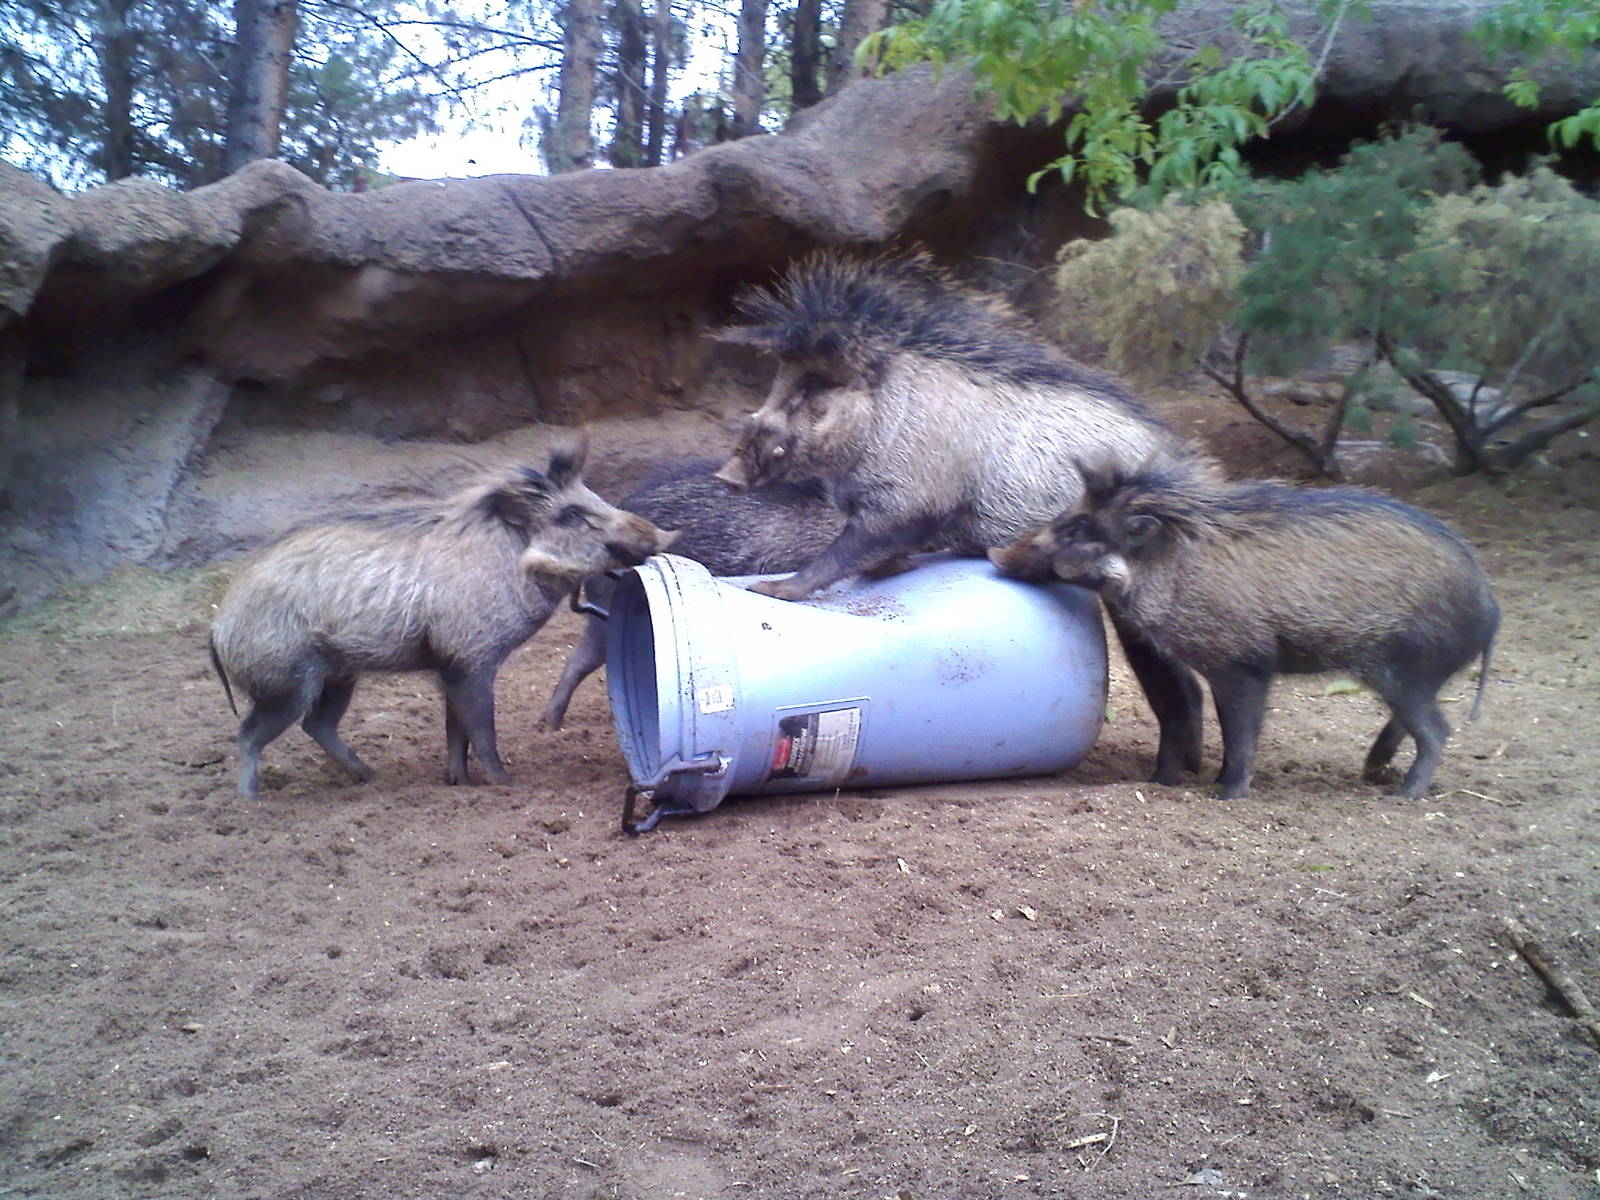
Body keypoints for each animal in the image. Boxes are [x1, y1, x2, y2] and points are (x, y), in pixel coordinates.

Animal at [208, 435, 677, 800]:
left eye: (595, 496)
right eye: (571, 515)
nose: (666, 535)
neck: (510, 562)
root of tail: (217, 627)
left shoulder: (449, 665)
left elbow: (456, 732)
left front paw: (459, 784)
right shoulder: (470, 661)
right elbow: (482, 730)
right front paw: (506, 784)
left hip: (338, 675)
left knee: (316, 725)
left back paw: (372, 778)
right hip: (285, 683)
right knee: (250, 734)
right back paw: (250, 803)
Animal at [711, 249, 1209, 783]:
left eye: (814, 387)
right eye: (781, 381)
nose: (726, 475)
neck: (882, 417)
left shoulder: (905, 504)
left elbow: (841, 554)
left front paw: (771, 590)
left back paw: (1171, 778)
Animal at [988, 458, 1499, 800]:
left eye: (1078, 529)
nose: (995, 554)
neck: (1166, 568)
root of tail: (1490, 606)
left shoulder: (1243, 665)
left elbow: (1241, 733)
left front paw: (1226, 794)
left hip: (1408, 672)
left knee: (1438, 730)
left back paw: (1403, 795)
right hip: (1409, 678)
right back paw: (1374, 771)